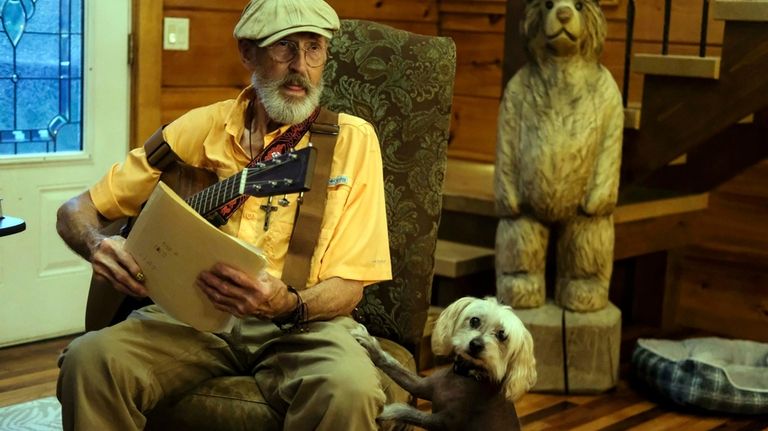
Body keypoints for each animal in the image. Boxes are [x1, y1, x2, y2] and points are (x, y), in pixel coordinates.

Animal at [352, 296, 536, 431]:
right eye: (474, 321)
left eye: (502, 335)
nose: (476, 345)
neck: (465, 375)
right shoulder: (420, 385)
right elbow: (393, 365)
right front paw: (371, 346)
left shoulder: (443, 423)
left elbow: (408, 411)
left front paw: (386, 411)